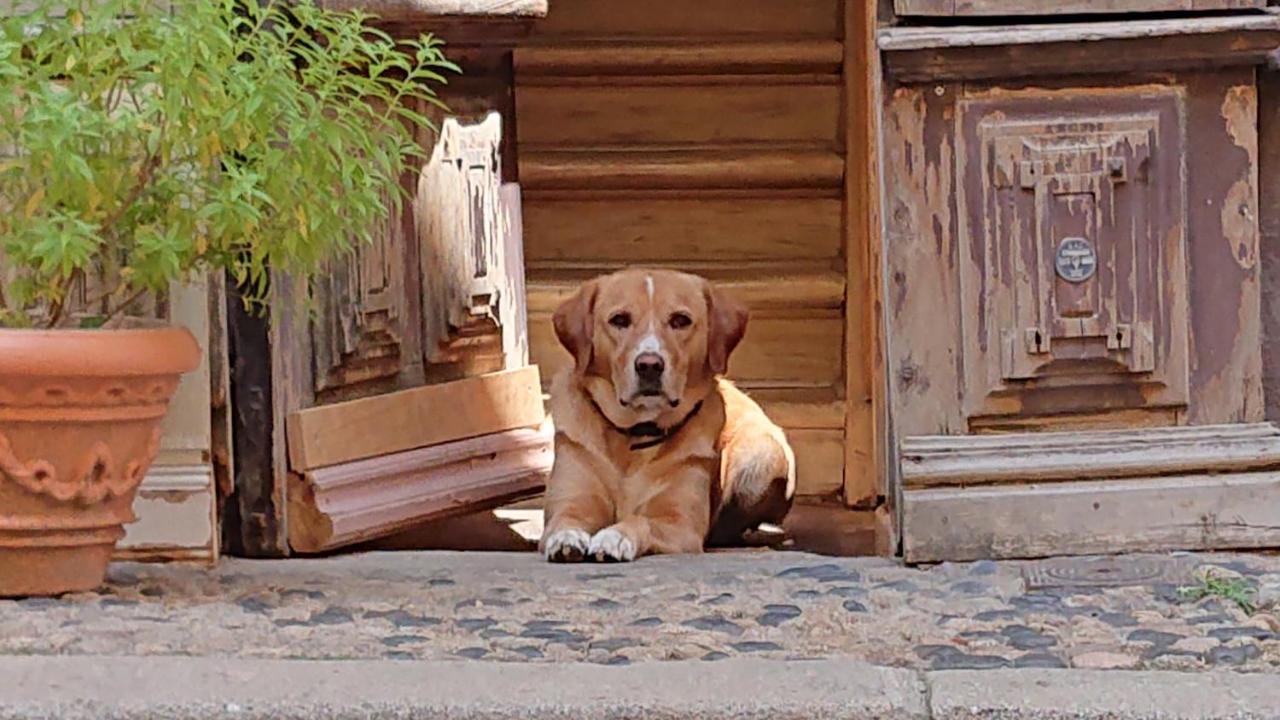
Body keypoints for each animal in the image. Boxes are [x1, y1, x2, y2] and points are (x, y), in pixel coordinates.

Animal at [537, 269, 788, 561]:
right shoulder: (571, 502)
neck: (635, 436)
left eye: (680, 320)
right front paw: (567, 539)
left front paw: (615, 536)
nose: (649, 365)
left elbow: (640, 521)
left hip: (757, 459)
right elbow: (566, 522)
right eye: (619, 320)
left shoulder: (681, 525)